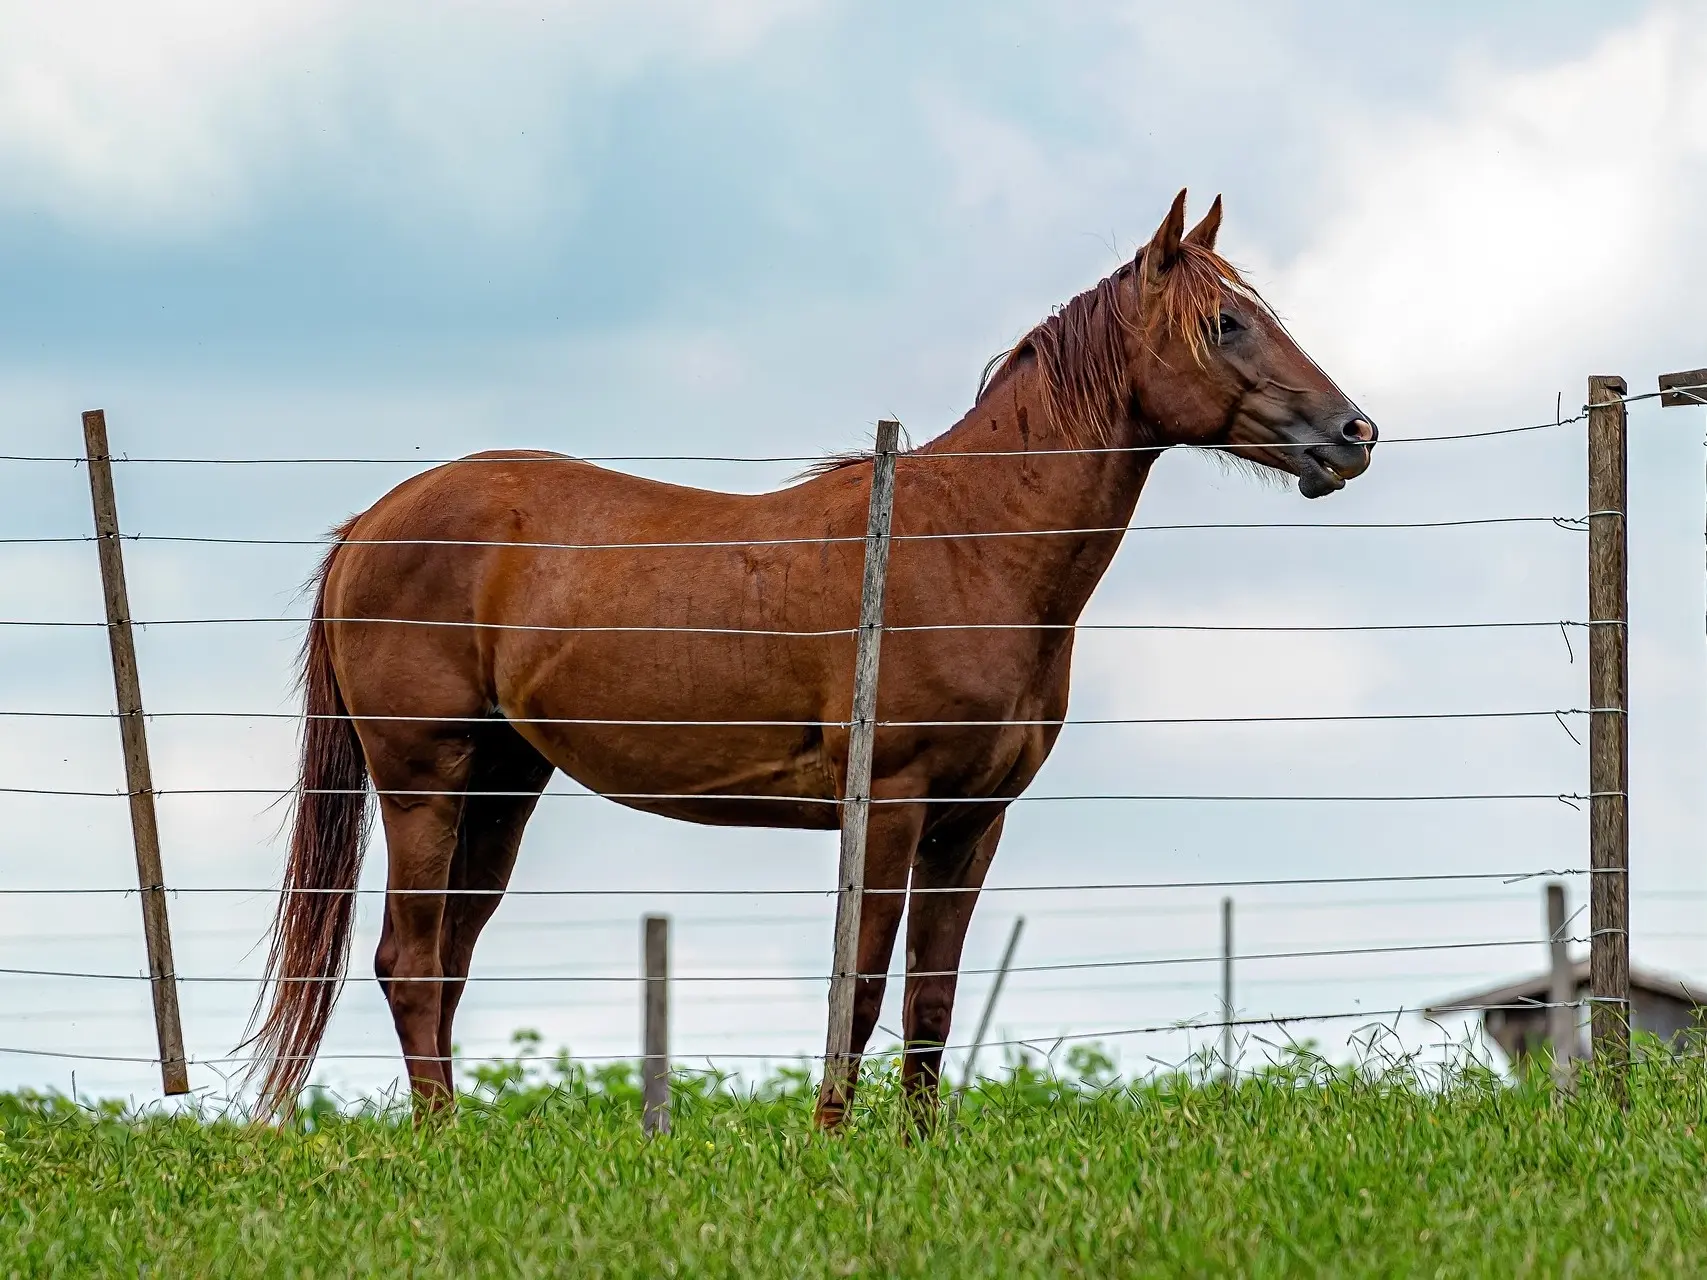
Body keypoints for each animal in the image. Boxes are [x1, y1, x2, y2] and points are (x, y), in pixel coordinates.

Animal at [249, 190, 1372, 1119]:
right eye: (1224, 323)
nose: (1351, 434)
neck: (965, 542)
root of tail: (372, 522)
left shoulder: (972, 822)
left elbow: (931, 999)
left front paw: (919, 1149)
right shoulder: (892, 804)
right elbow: (860, 986)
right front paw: (832, 1141)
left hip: (501, 783)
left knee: (447, 959)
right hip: (425, 777)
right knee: (410, 961)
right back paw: (441, 1142)